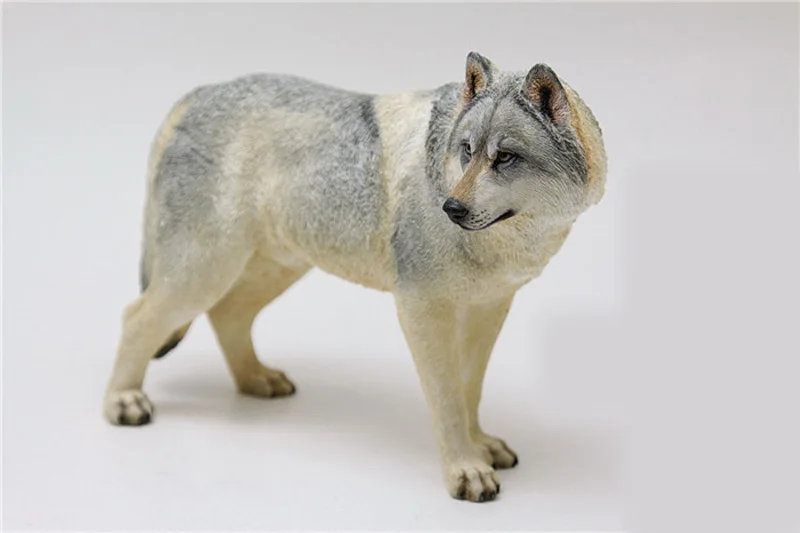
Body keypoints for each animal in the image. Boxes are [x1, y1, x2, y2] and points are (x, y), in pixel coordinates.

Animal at [103, 52, 607, 502]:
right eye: (467, 151)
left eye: (505, 158)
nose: (451, 208)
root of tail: (198, 93)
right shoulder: (423, 309)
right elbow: (447, 399)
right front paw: (466, 470)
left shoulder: (488, 310)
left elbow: (470, 390)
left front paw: (480, 445)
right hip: (203, 271)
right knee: (136, 317)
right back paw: (123, 400)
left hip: (270, 270)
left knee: (227, 315)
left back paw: (256, 380)